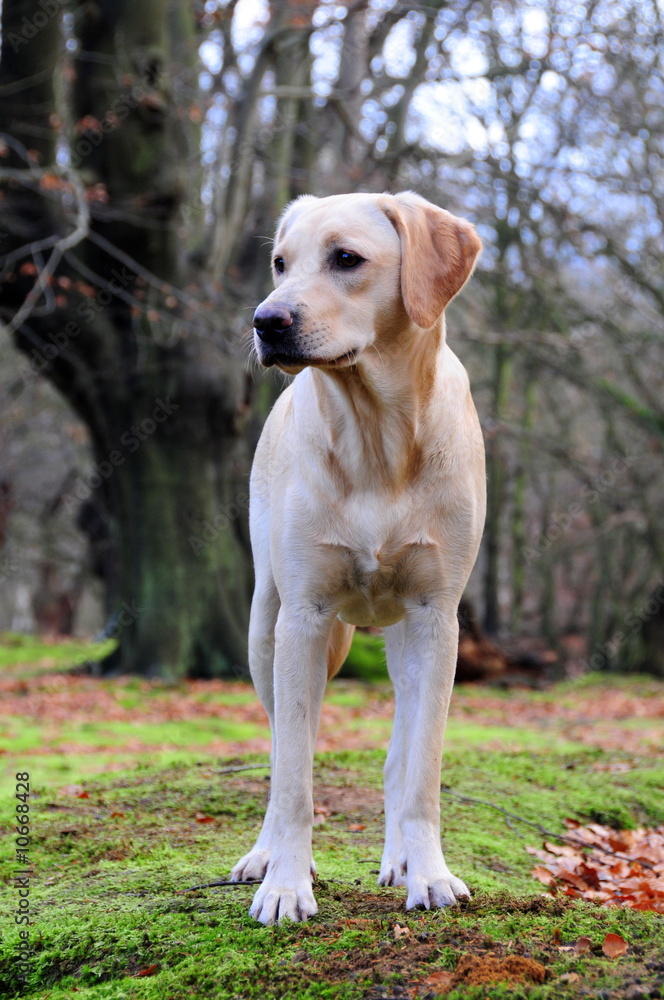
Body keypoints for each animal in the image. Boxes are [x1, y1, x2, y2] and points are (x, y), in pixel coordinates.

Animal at [231, 191, 486, 924]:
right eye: (280, 262)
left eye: (346, 258)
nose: (266, 320)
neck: (375, 433)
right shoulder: (304, 617)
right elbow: (293, 772)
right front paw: (285, 884)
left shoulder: (435, 617)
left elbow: (422, 769)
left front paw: (429, 874)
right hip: (265, 624)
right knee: (282, 744)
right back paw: (265, 854)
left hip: (404, 638)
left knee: (399, 757)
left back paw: (400, 858)